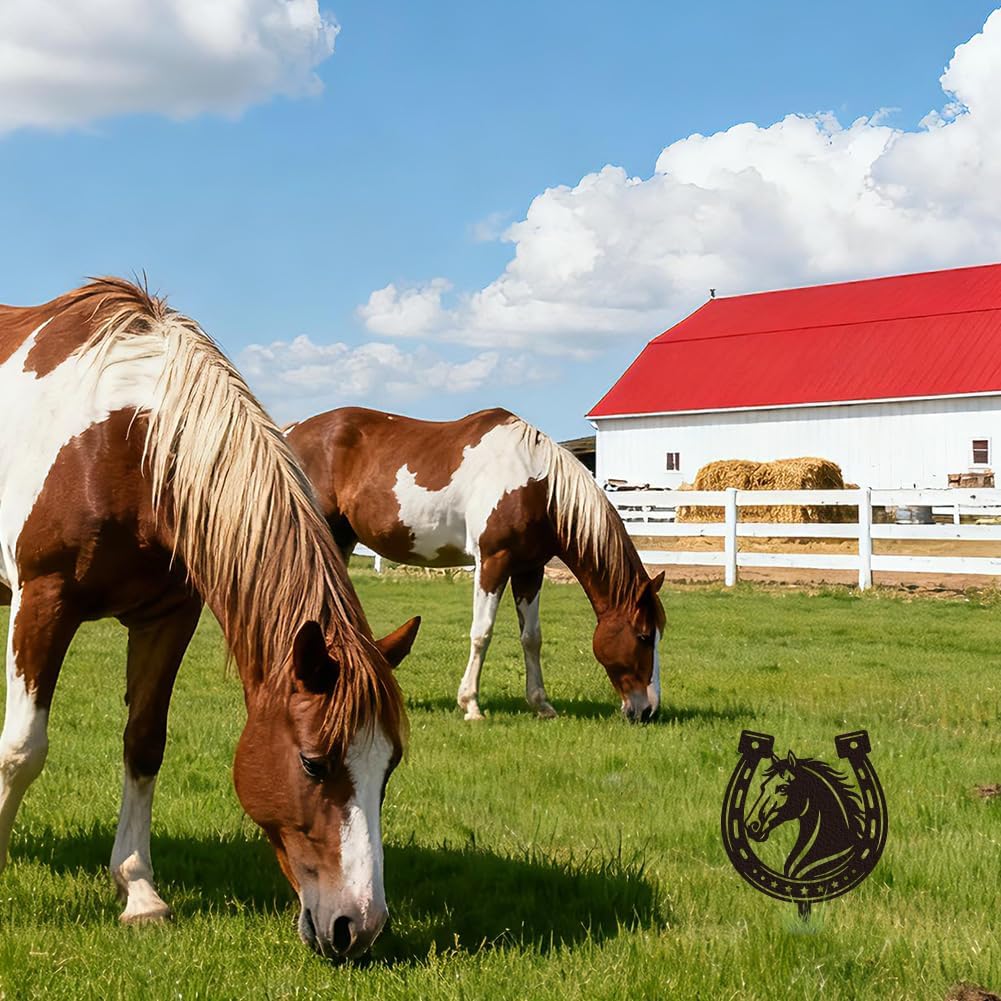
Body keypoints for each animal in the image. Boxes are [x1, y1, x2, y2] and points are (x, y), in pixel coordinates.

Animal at [0, 279, 421, 959]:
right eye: (314, 762)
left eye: (389, 766)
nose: (358, 926)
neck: (120, 442)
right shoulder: (44, 600)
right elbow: (21, 749)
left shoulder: (168, 615)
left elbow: (144, 744)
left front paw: (139, 892)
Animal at [285, 407, 665, 722]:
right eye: (644, 636)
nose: (648, 710)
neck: (537, 485)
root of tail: (293, 431)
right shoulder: (493, 562)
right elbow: (482, 632)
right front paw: (470, 705)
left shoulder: (530, 570)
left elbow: (532, 637)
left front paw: (541, 704)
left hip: (341, 540)